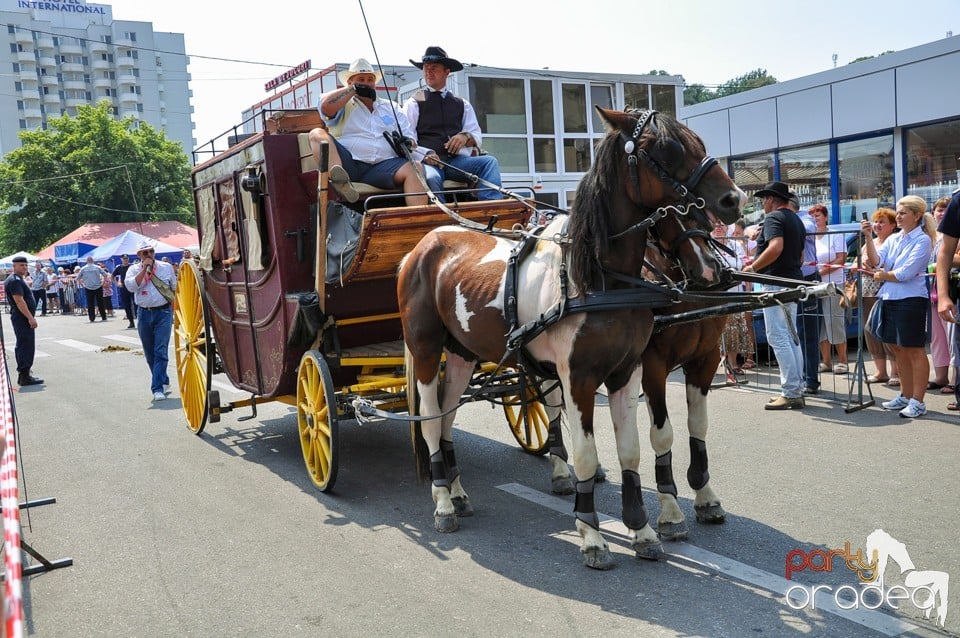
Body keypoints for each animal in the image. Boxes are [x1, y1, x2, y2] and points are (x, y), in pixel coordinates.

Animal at [396, 109, 744, 568]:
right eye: (667, 149)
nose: (734, 199)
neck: (598, 276)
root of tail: (424, 243)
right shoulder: (584, 376)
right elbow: (588, 453)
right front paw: (593, 534)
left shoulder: (631, 371)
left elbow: (632, 448)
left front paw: (642, 529)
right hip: (424, 350)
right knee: (433, 423)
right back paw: (441, 504)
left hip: (461, 354)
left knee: (448, 416)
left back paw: (456, 492)